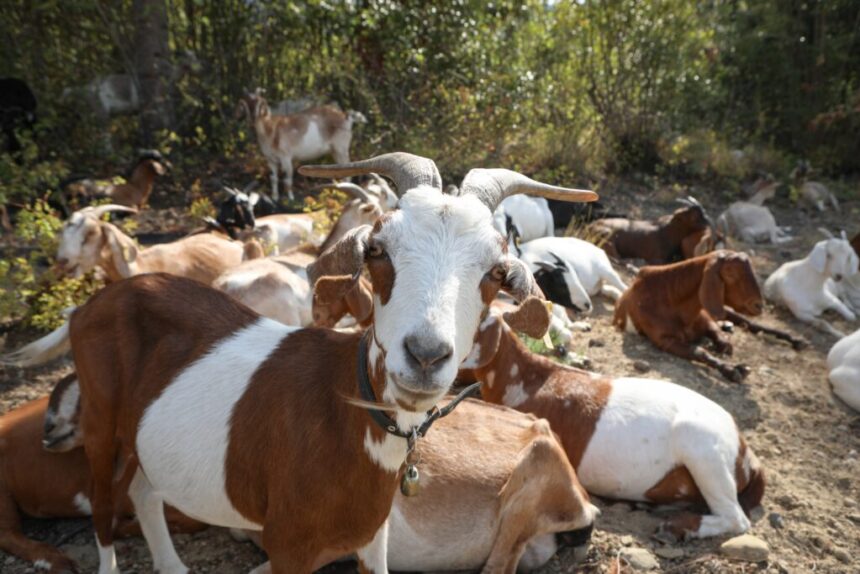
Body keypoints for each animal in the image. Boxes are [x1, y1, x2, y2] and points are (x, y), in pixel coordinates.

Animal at [45, 152, 596, 573]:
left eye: (497, 271)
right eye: (376, 249)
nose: (425, 356)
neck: (346, 417)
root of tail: (98, 301)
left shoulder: (372, 538)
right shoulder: (288, 545)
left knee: (143, 491)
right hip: (101, 425)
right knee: (103, 504)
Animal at [236, 88, 366, 202]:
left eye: (259, 104)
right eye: (246, 105)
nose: (252, 119)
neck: (271, 130)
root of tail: (346, 117)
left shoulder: (286, 157)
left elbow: (287, 179)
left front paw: (290, 198)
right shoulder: (270, 160)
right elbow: (274, 178)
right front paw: (275, 197)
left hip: (341, 148)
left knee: (348, 173)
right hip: (335, 151)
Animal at [589, 197, 720, 264]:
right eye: (694, 216)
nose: (709, 224)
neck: (666, 230)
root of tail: (590, 227)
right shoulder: (656, 258)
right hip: (608, 239)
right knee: (617, 257)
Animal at [614, 251, 767, 382]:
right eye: (730, 274)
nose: (758, 305)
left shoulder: (705, 319)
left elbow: (722, 340)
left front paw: (733, 360)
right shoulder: (665, 341)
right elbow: (700, 351)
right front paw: (732, 370)